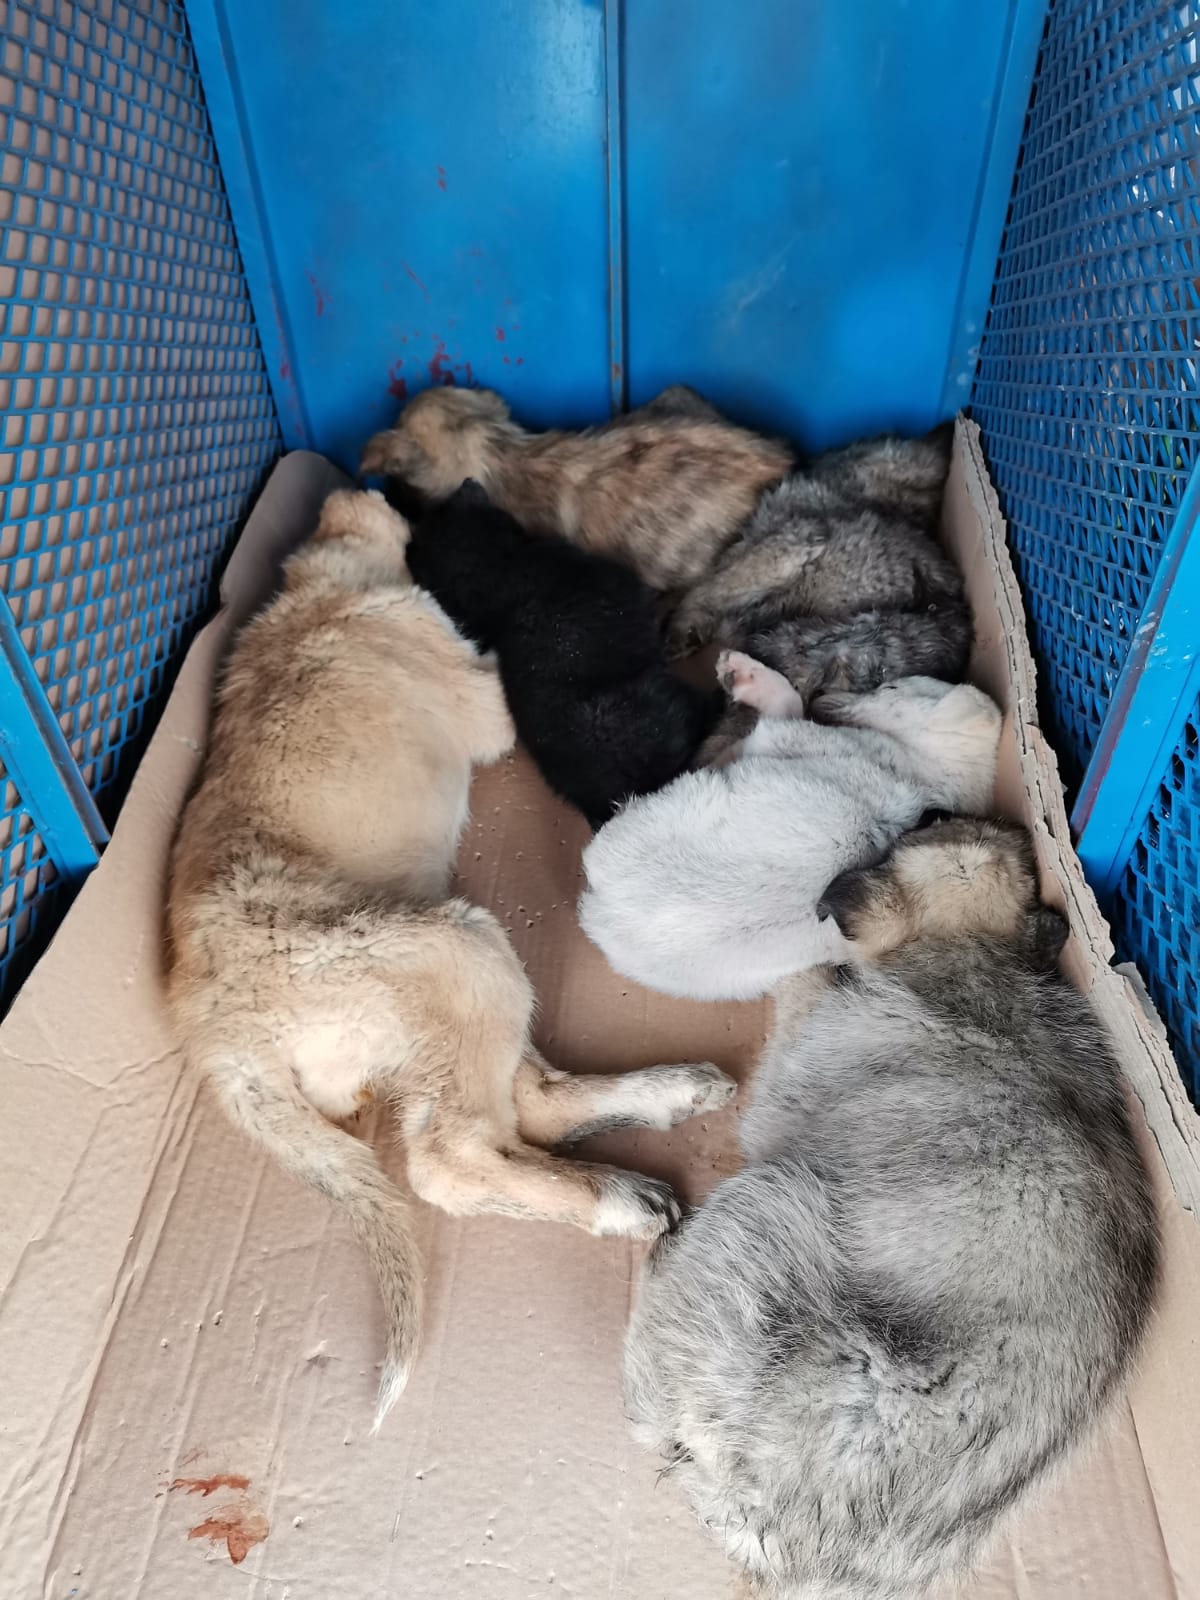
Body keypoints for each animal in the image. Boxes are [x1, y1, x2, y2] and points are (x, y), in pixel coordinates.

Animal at [578, 654, 1001, 1000]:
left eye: (890, 687)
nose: (823, 691)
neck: (924, 768)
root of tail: (601, 911)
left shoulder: (783, 736)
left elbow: (784, 708)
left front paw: (748, 676)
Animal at [624, 816, 1160, 1600]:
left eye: (926, 822)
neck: (975, 950)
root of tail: (772, 1535)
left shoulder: (805, 1058)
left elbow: (806, 985)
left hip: (764, 1209)